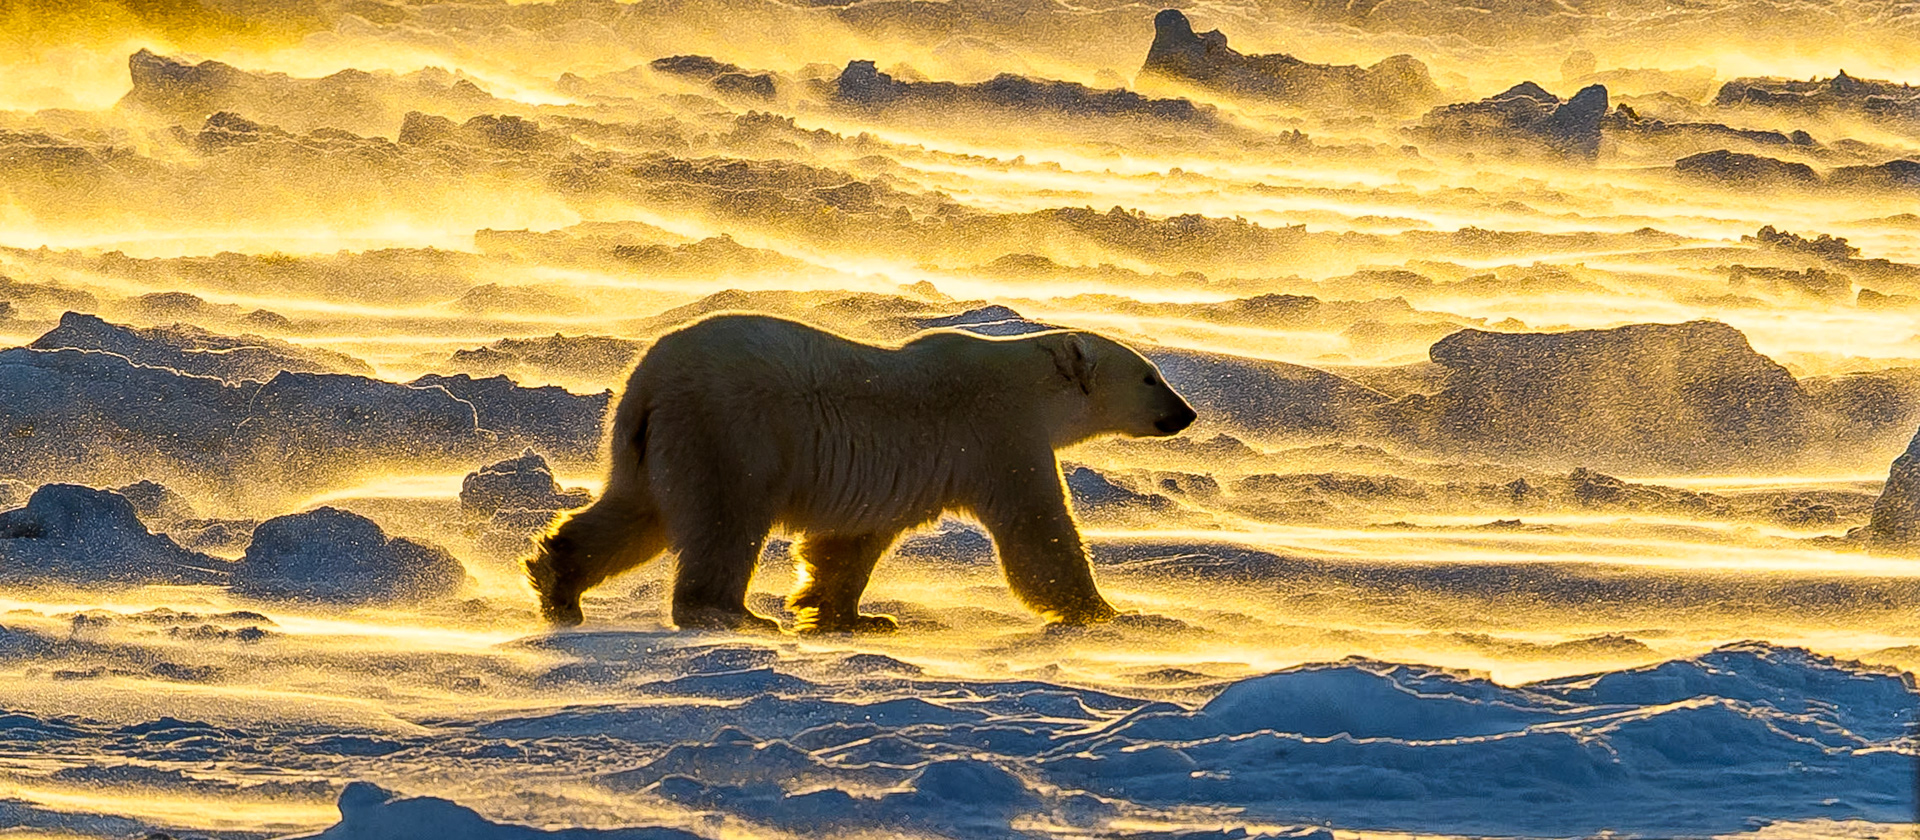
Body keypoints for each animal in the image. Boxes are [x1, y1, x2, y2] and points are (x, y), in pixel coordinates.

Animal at [525, 312, 1197, 632]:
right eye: (1150, 376)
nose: (1186, 412)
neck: (1030, 384)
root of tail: (649, 383)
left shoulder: (899, 472)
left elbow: (849, 543)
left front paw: (850, 615)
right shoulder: (998, 436)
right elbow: (1039, 534)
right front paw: (1107, 613)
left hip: (648, 445)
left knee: (635, 512)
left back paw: (556, 581)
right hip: (732, 431)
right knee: (724, 520)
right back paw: (735, 614)